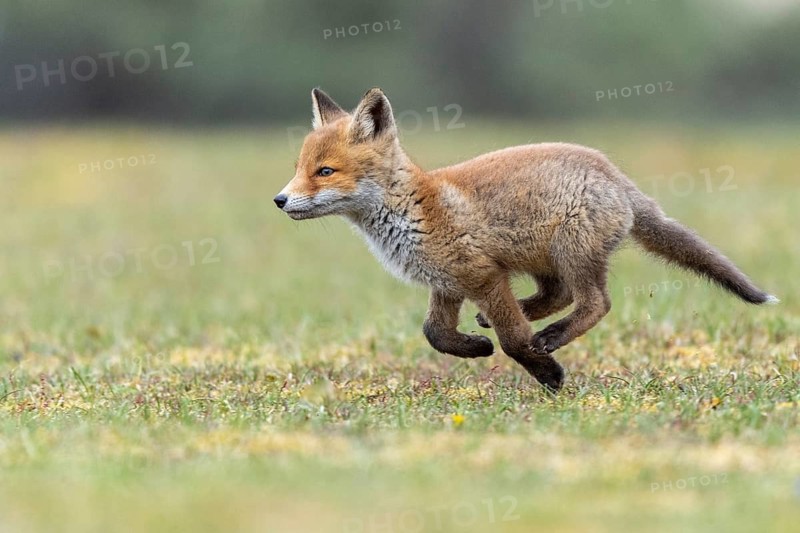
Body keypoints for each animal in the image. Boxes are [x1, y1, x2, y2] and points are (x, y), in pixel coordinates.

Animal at [274, 87, 778, 391]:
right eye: (300, 169)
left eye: (325, 172)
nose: (280, 200)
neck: (414, 210)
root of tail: (615, 175)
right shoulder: (449, 283)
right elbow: (435, 333)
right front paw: (475, 348)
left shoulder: (483, 276)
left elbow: (514, 339)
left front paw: (546, 373)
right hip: (544, 258)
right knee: (559, 295)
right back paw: (510, 321)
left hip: (571, 251)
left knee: (594, 302)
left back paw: (550, 337)